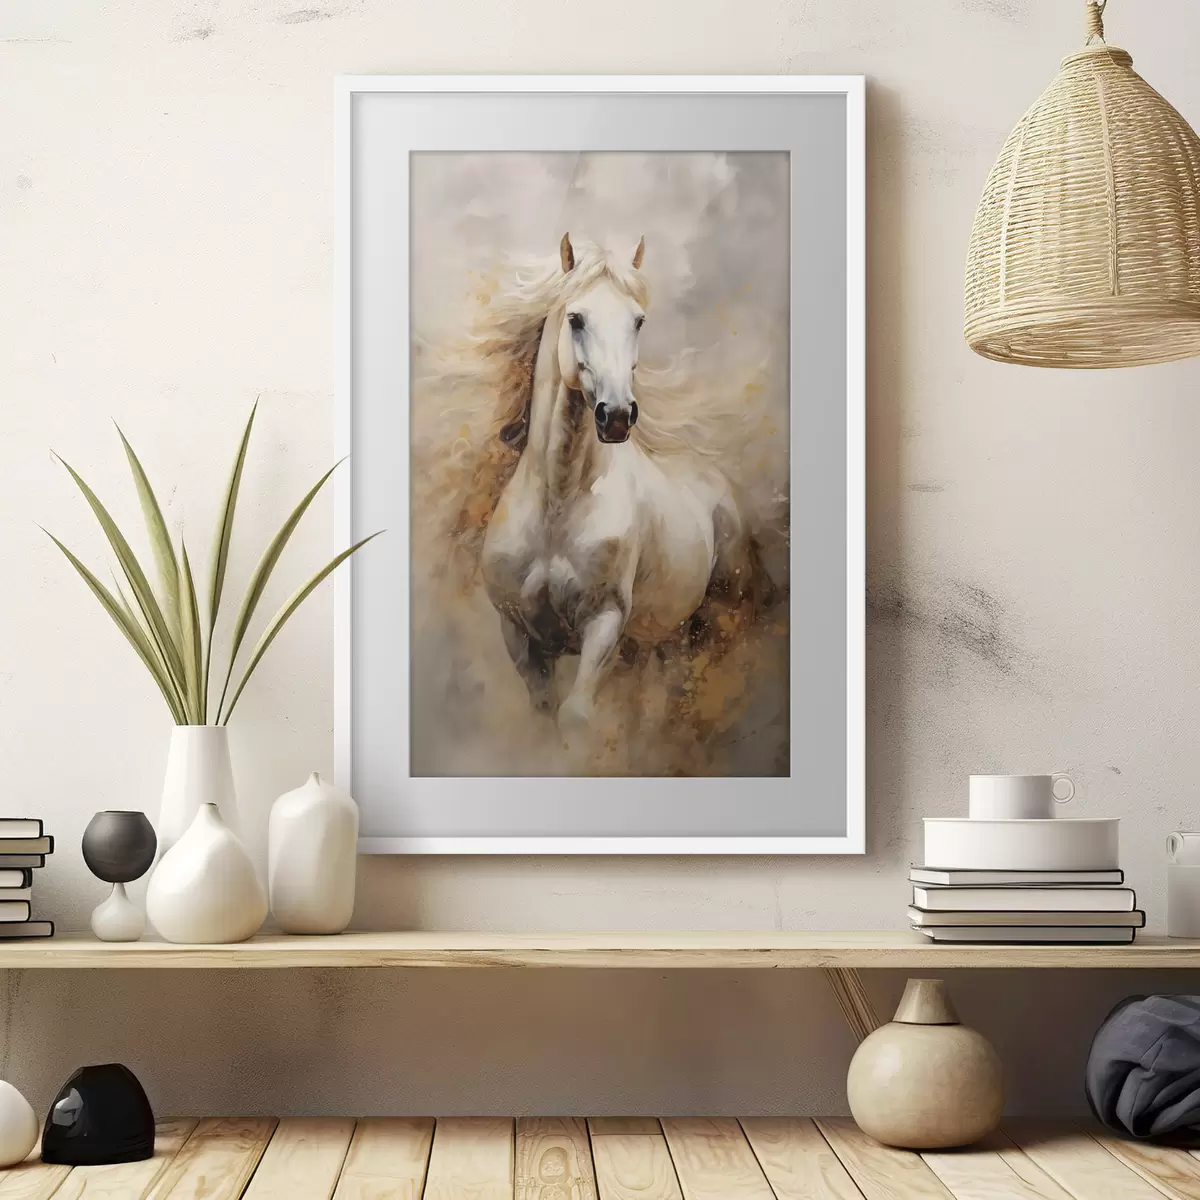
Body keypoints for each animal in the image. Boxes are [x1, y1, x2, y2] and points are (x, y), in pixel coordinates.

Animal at [480, 233, 758, 738]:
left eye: (638, 320)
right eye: (576, 318)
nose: (617, 417)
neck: (559, 504)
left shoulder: (604, 623)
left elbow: (575, 717)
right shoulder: (520, 636)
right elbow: (544, 718)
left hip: (712, 622)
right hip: (655, 642)